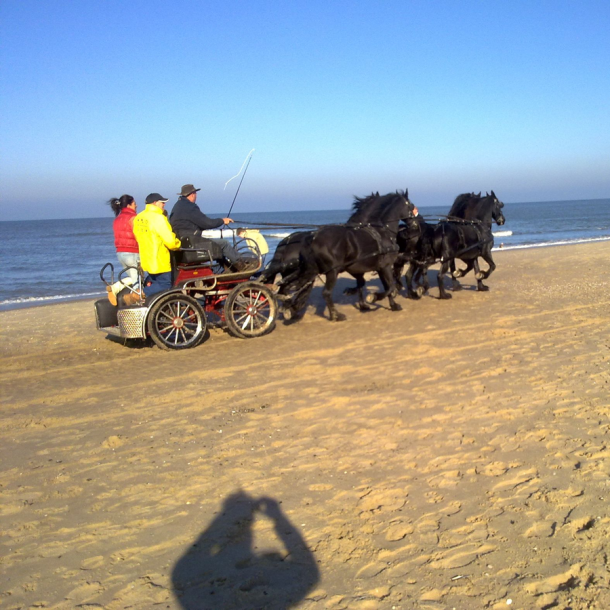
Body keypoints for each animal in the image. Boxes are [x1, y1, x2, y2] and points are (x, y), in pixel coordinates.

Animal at [262, 190, 414, 320]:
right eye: (411, 205)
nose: (414, 224)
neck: (381, 232)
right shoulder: (384, 266)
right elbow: (389, 287)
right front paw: (376, 298)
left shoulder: (360, 269)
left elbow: (365, 284)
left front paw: (363, 301)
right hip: (331, 272)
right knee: (324, 293)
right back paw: (335, 315)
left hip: (306, 272)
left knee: (287, 288)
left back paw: (289, 309)